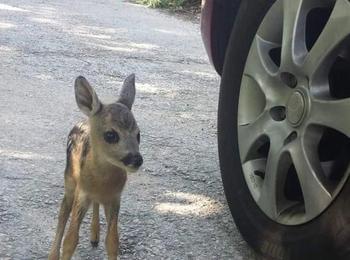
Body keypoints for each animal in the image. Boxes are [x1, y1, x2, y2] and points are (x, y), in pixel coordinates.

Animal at [48, 74, 143, 258]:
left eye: (138, 134)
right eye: (111, 135)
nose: (136, 159)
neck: (102, 183)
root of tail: (83, 119)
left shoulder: (115, 197)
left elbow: (112, 241)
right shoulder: (82, 192)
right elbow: (70, 240)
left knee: (95, 205)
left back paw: (94, 236)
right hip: (70, 179)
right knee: (63, 212)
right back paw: (53, 254)